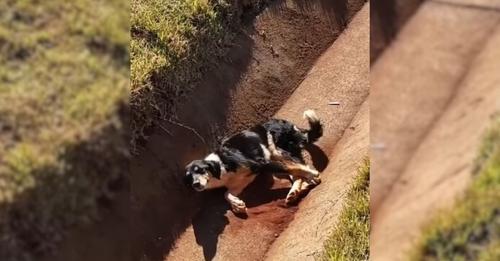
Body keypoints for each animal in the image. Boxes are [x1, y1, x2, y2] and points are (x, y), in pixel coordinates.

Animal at [186, 108, 322, 212]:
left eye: (200, 170)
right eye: (189, 178)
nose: (195, 184)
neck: (221, 164)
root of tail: (289, 124)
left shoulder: (260, 163)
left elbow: (293, 168)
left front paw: (313, 174)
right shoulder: (240, 182)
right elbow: (226, 194)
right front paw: (237, 205)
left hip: (278, 152)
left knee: (298, 166)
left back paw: (308, 180)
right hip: (277, 158)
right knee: (297, 174)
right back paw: (295, 191)